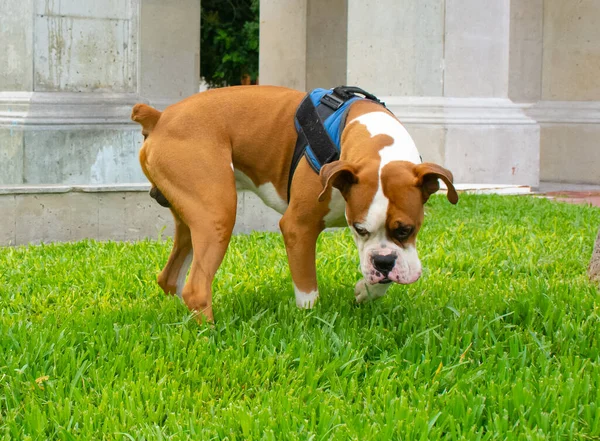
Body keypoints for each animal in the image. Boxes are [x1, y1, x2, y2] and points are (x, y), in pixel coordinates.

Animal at [132, 86, 460, 320]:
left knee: (170, 278)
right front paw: (312, 325)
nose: (382, 262)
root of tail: (159, 117)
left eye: (406, 230)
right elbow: (308, 291)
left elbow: (386, 272)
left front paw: (366, 291)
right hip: (217, 213)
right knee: (196, 288)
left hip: (192, 218)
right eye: (359, 229)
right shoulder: (298, 227)